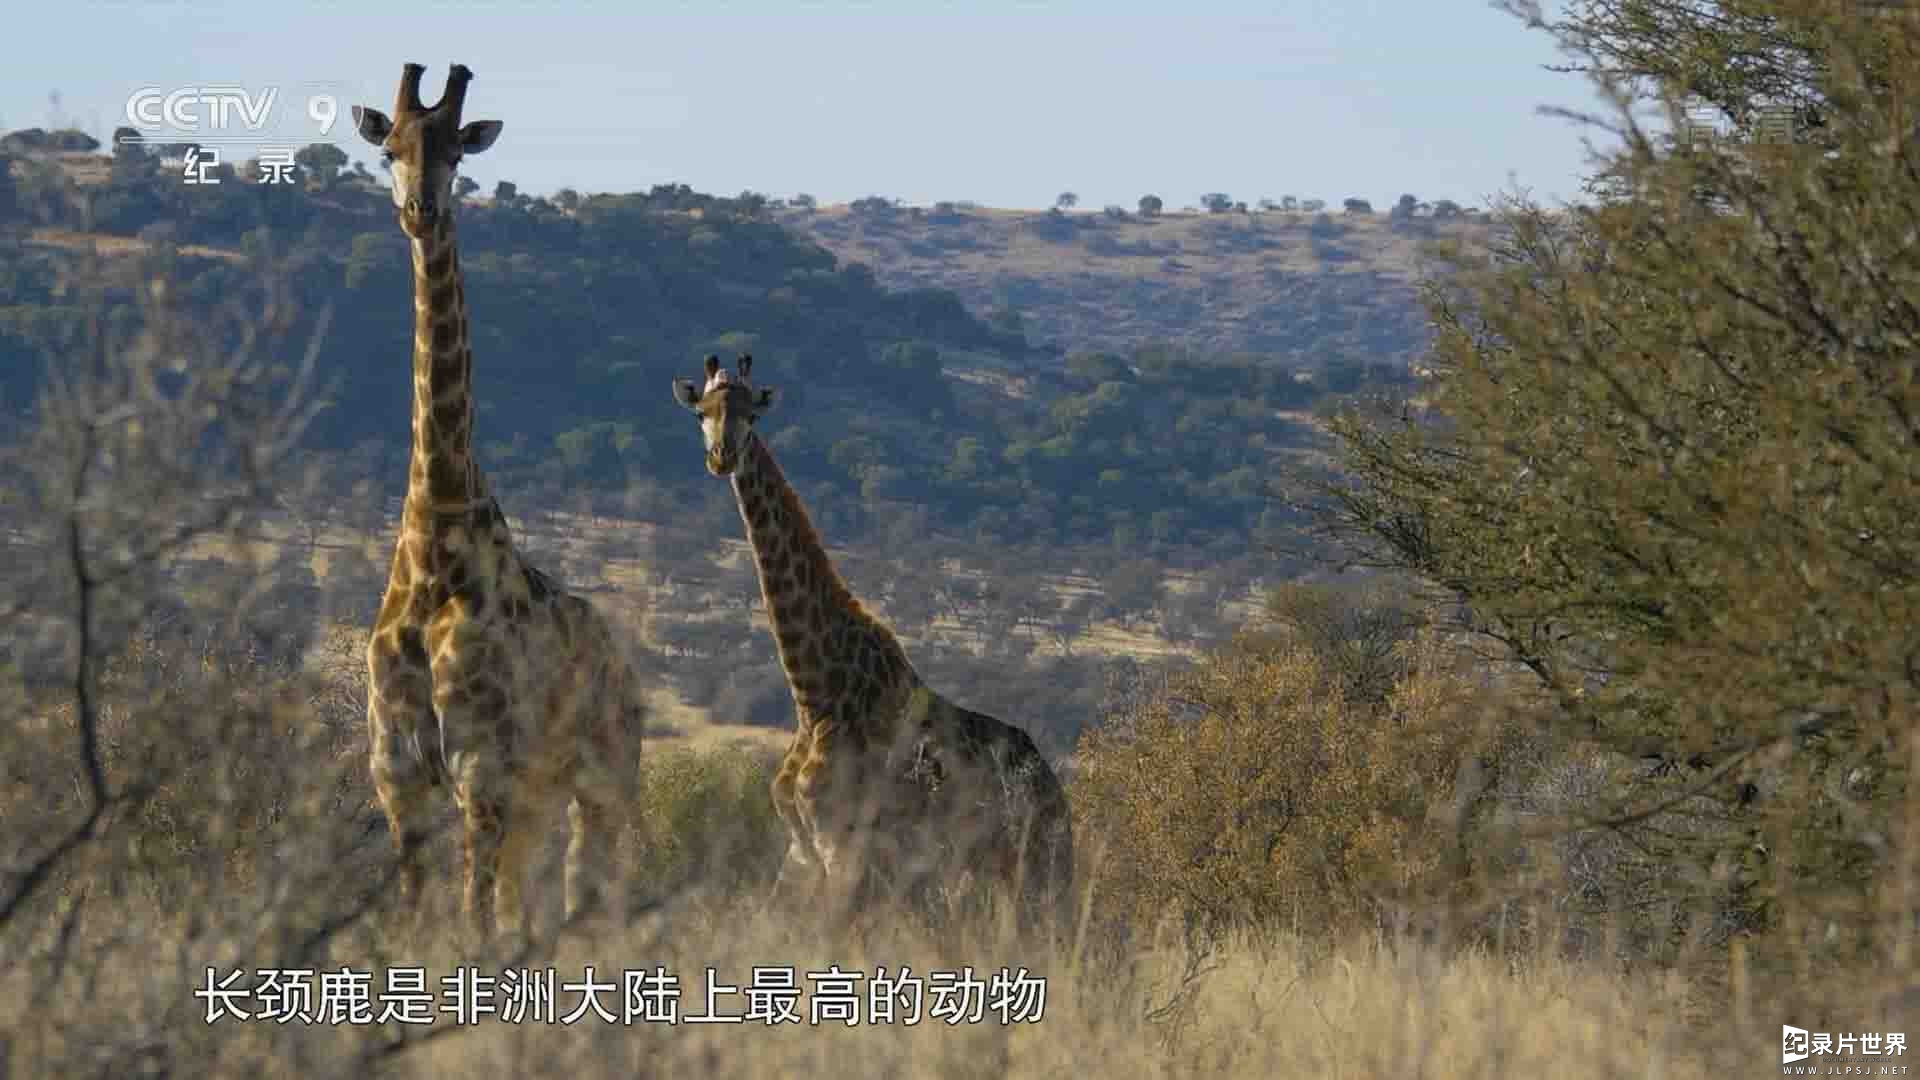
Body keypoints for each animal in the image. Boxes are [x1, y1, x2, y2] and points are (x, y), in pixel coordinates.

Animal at [360, 61, 652, 933]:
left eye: (456, 149)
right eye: (388, 146)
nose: (419, 212)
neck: (432, 542)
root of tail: (623, 664)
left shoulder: (480, 771)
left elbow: (474, 922)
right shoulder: (399, 775)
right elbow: (422, 919)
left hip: (604, 779)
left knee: (595, 894)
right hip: (539, 799)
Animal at [668, 355, 1075, 941]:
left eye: (753, 416)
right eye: (702, 411)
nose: (722, 457)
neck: (814, 694)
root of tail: (1056, 791)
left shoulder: (847, 847)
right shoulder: (802, 851)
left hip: (1036, 863)